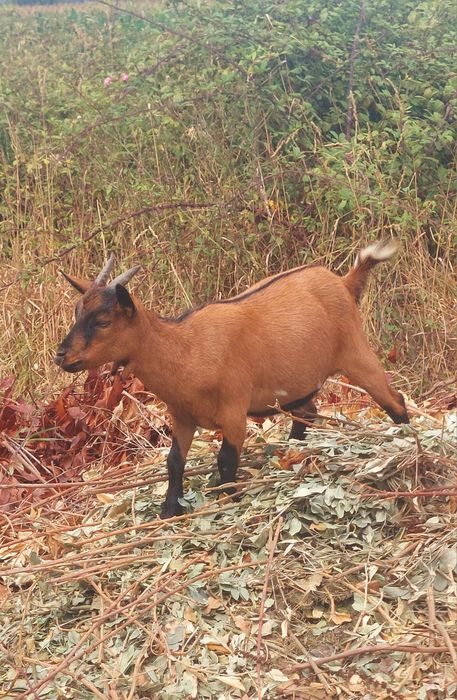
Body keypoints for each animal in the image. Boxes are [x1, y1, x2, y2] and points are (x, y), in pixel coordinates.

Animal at [55, 241, 409, 518]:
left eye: (103, 321)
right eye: (76, 312)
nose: (61, 355)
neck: (186, 348)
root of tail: (343, 282)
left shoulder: (234, 410)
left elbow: (226, 460)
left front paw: (225, 500)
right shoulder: (182, 416)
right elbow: (174, 461)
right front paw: (169, 510)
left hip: (356, 353)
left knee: (394, 400)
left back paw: (407, 445)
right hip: (297, 385)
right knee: (308, 413)